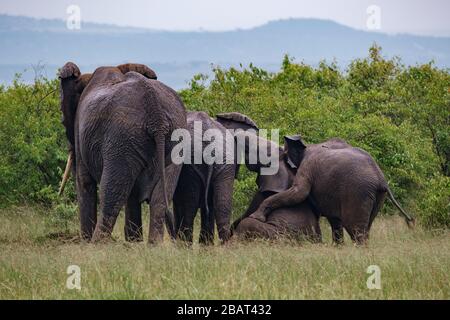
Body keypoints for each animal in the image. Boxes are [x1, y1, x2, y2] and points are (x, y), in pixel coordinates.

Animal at [59, 62, 186, 242]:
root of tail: (157, 116)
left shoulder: (79, 131)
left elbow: (84, 182)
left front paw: (86, 241)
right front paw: (134, 241)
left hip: (121, 138)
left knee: (111, 197)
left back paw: (96, 244)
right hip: (173, 138)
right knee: (161, 198)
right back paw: (152, 244)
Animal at [171, 111, 256, 244]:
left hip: (192, 163)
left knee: (190, 207)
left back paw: (185, 246)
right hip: (223, 162)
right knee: (222, 206)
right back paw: (224, 246)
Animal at [250, 136, 414, 245]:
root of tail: (381, 179)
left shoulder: (307, 166)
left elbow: (298, 193)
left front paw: (255, 217)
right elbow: (334, 219)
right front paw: (337, 247)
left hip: (358, 192)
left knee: (354, 228)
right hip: (378, 196)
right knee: (366, 228)